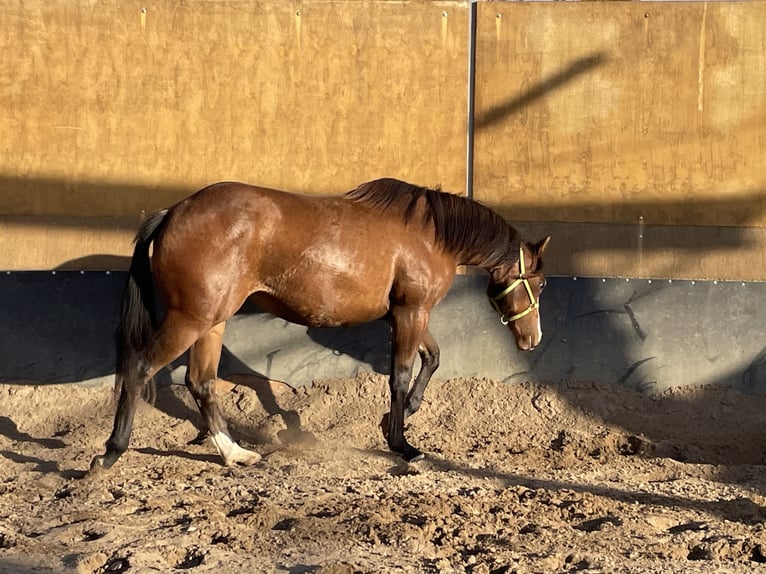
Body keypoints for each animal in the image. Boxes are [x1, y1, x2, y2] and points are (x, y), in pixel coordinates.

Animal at [87, 179, 548, 472]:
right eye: (539, 282)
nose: (533, 339)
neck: (429, 235)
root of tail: (173, 212)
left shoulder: (408, 314)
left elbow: (432, 358)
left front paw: (400, 416)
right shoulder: (411, 312)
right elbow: (400, 375)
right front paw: (402, 444)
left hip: (212, 322)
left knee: (201, 382)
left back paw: (234, 454)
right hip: (191, 319)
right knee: (140, 369)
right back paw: (110, 453)